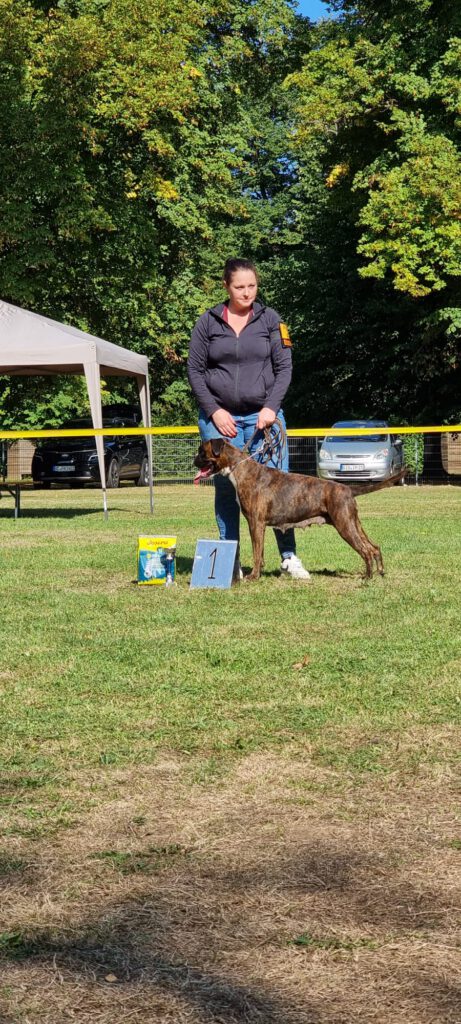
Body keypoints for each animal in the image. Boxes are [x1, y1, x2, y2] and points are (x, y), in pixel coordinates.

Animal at [194, 438, 407, 581]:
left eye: (202, 452)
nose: (194, 460)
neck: (241, 470)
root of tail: (347, 488)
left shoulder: (256, 523)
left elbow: (256, 552)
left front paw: (253, 576)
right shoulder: (258, 526)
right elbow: (259, 552)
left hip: (344, 525)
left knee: (365, 550)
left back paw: (367, 577)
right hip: (354, 523)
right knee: (374, 547)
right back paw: (380, 572)